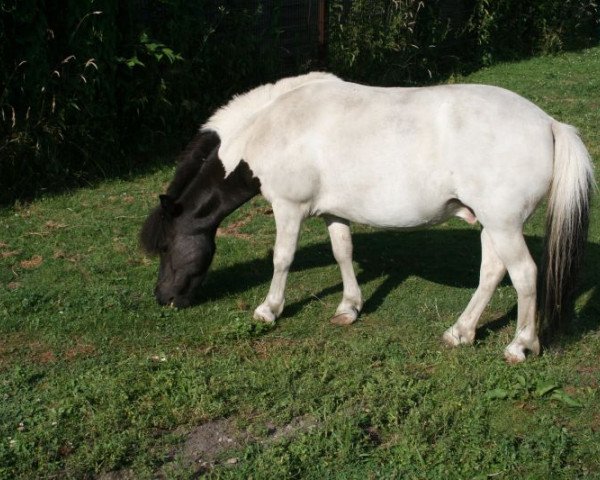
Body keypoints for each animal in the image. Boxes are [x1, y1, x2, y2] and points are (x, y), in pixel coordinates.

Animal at [142, 73, 596, 362]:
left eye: (165, 247)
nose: (164, 299)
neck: (272, 126)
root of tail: (549, 124)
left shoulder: (289, 208)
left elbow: (282, 259)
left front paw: (268, 310)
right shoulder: (333, 213)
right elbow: (343, 253)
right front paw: (349, 307)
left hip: (503, 226)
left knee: (524, 276)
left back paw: (521, 346)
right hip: (492, 225)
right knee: (491, 274)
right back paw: (460, 332)